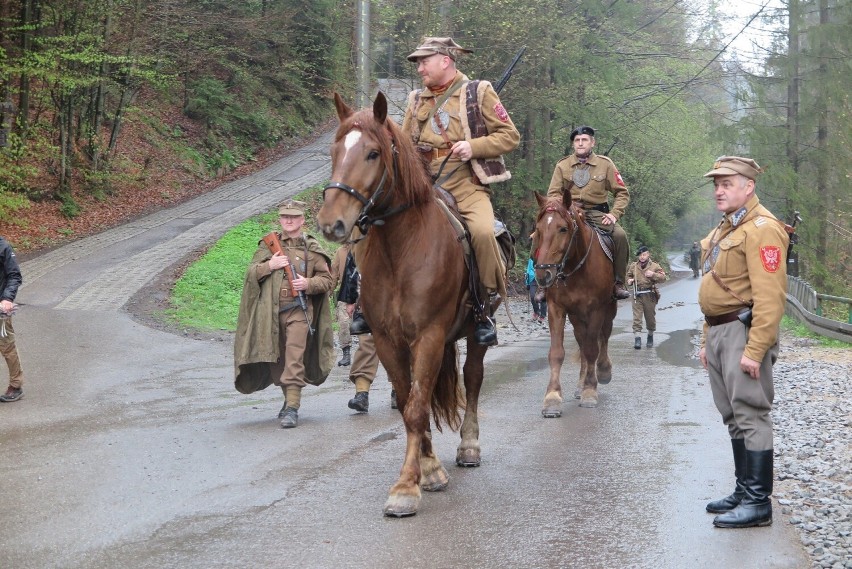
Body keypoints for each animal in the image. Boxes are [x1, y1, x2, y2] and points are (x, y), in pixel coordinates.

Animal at [314, 93, 490, 520]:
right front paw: (428, 471)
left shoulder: (428, 336)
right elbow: (411, 400)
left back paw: (469, 446)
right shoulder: (387, 339)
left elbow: (415, 406)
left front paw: (406, 488)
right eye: (334, 151)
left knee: (473, 379)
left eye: (373, 153)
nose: (331, 224)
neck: (402, 249)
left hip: (476, 330)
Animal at [528, 191, 616, 412]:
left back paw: (603, 371)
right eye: (538, 229)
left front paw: (590, 391)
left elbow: (593, 349)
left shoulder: (597, 310)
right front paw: (552, 397)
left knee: (603, 337)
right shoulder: (556, 309)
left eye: (563, 228)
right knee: (583, 342)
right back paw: (580, 384)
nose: (543, 274)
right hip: (577, 318)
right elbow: (557, 353)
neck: (576, 268)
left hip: (609, 310)